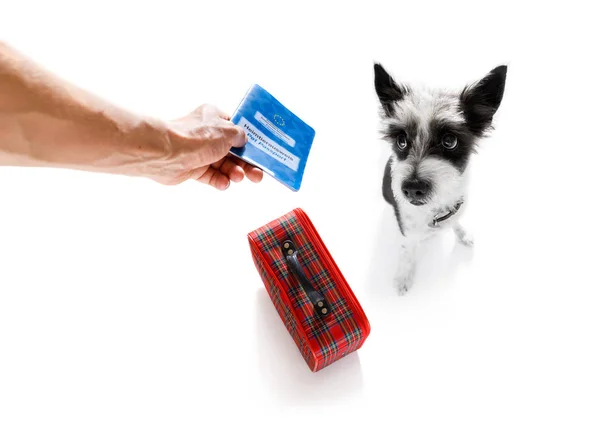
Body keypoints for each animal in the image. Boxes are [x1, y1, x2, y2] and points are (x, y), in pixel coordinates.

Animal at [376, 61, 506, 292]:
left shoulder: (456, 209)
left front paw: (463, 234)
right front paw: (403, 276)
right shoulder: (408, 233)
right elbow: (407, 252)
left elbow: (456, 222)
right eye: (401, 140)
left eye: (449, 141)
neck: (435, 211)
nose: (413, 188)